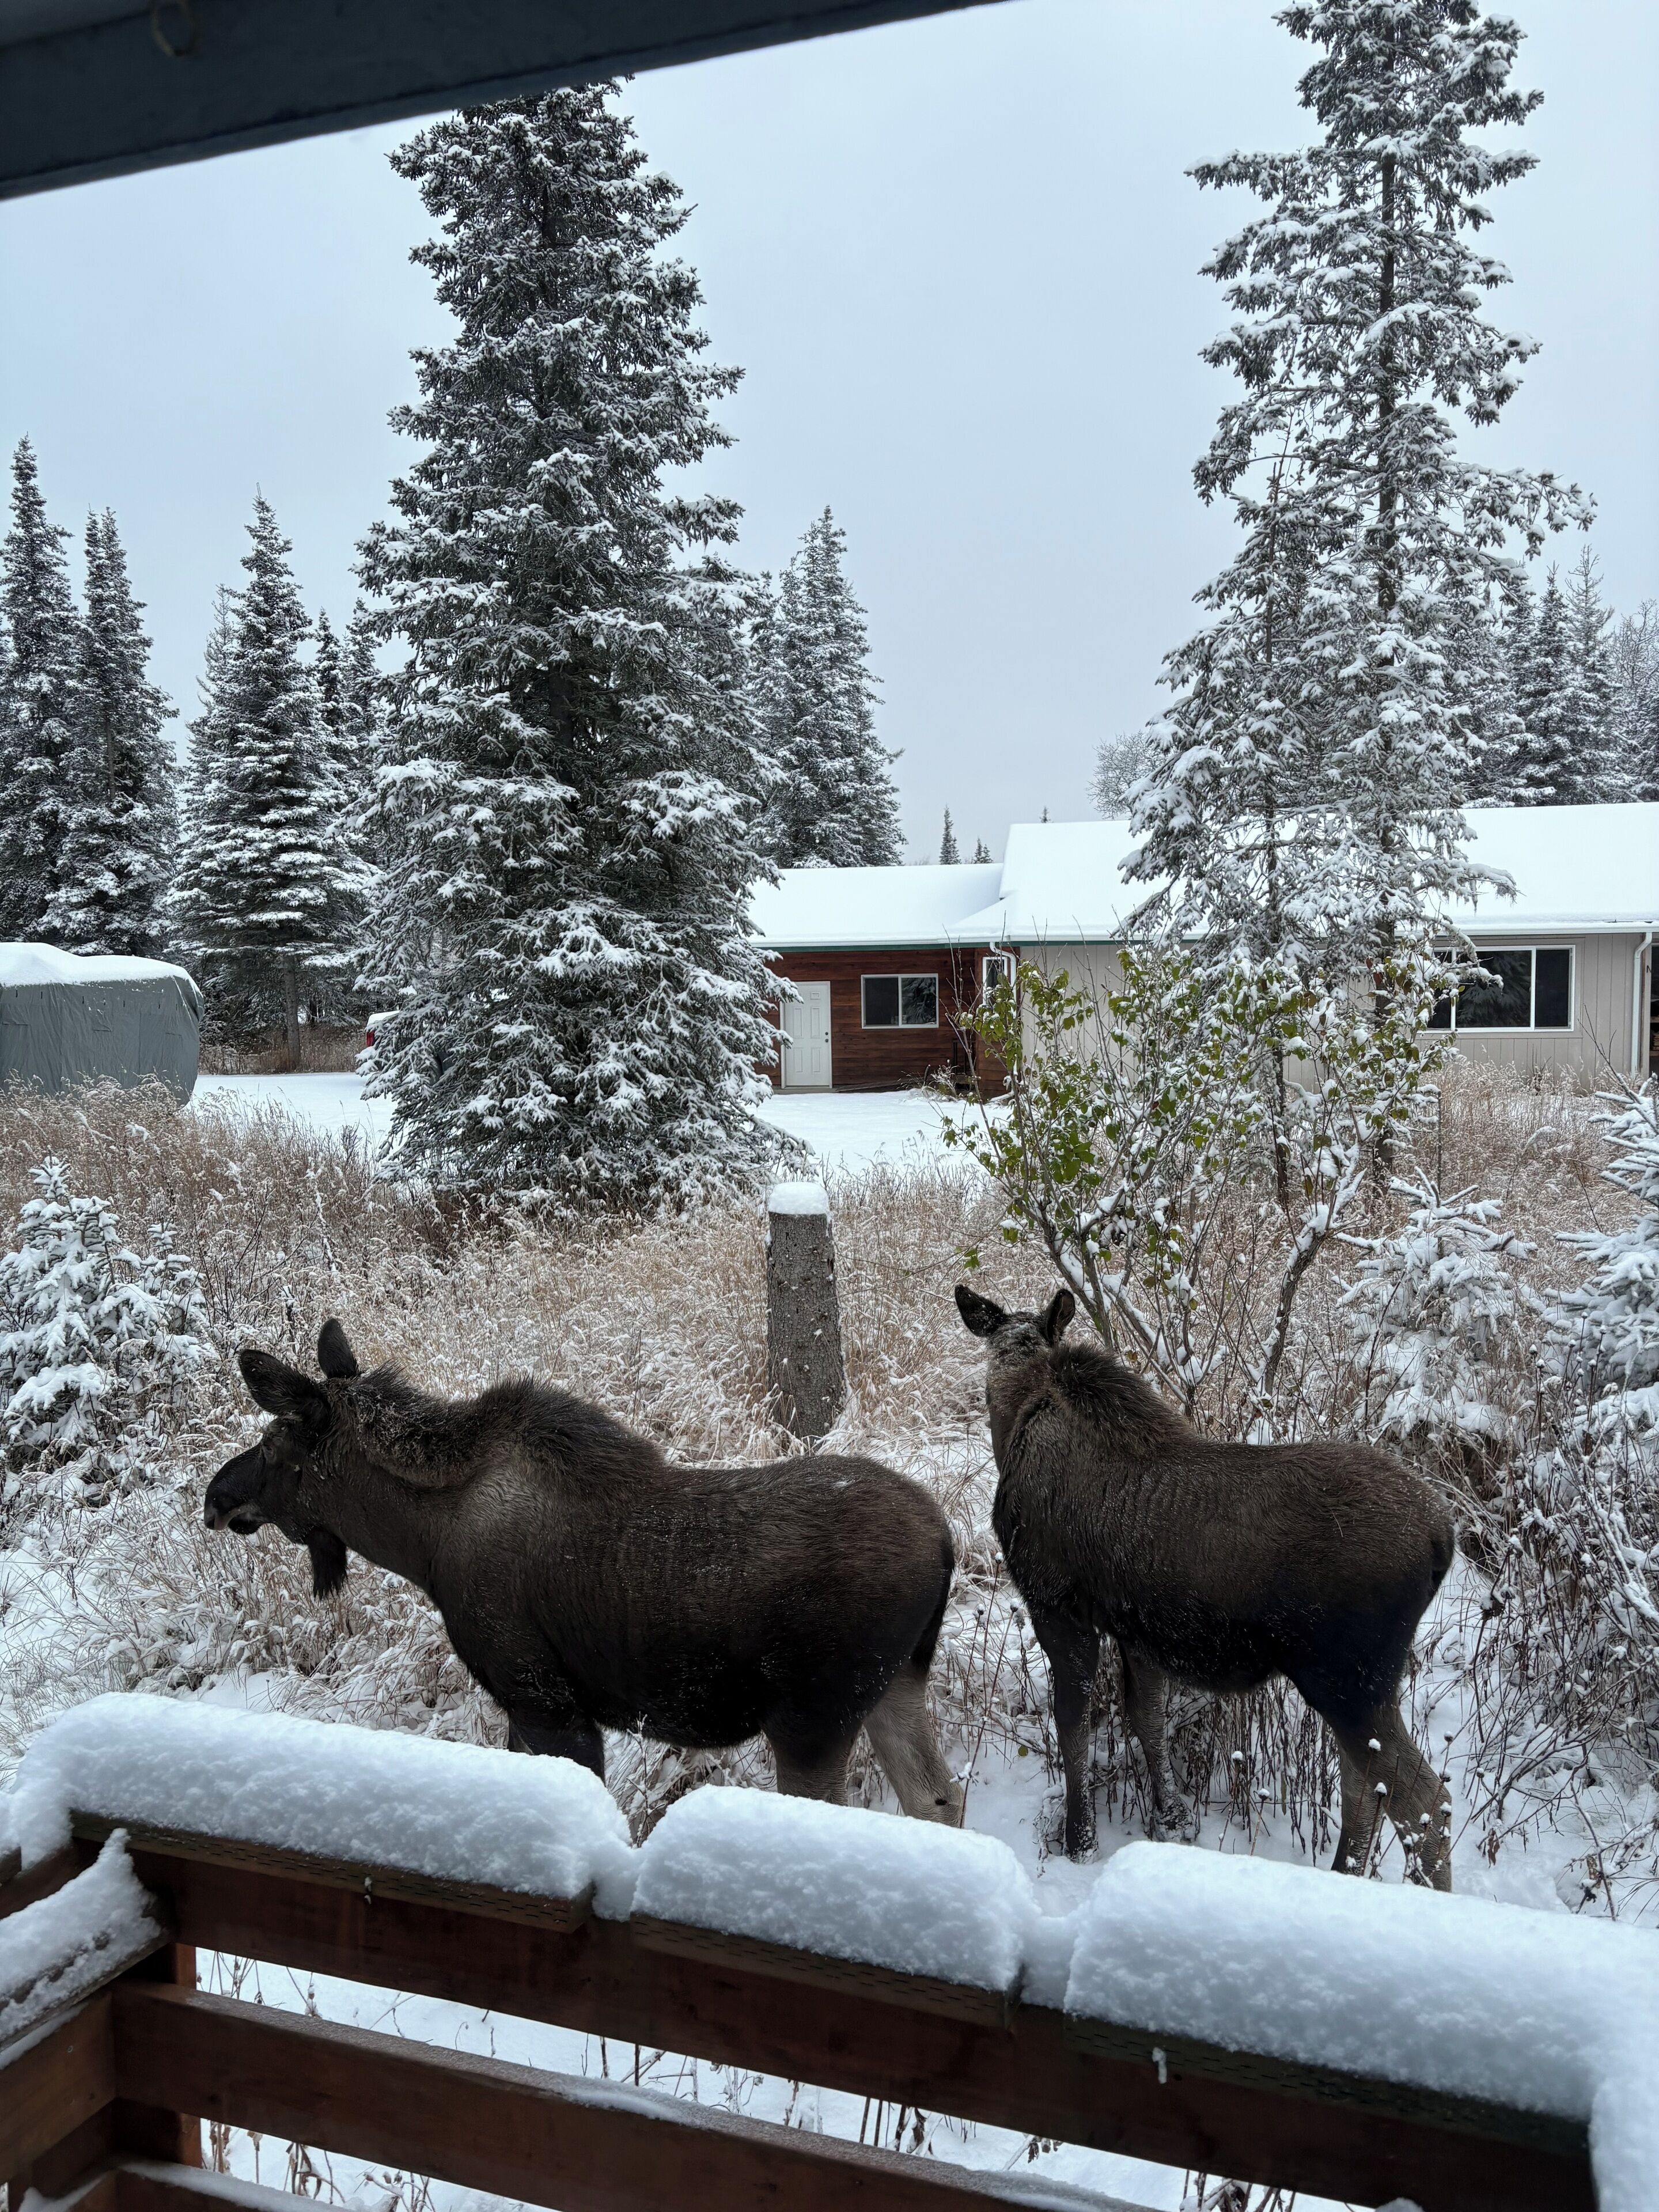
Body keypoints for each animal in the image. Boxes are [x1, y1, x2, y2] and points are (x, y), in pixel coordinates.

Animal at [204, 1320, 963, 1825]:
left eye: (272, 1444)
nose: (216, 1496)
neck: (419, 1543)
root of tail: (947, 1543)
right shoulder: (529, 1706)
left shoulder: (544, 1699)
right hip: (897, 1684)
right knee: (939, 1798)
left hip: (813, 1719)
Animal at [955, 1284, 1456, 1887]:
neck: (1017, 1416)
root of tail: (1444, 1537)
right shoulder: (1137, 1629)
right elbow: (1147, 1718)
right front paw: (1171, 1819)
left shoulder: (1056, 1604)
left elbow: (1073, 1727)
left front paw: (1079, 1842)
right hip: (1361, 1686)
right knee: (1370, 1787)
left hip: (1348, 1678)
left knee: (1425, 1802)